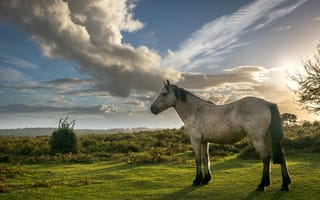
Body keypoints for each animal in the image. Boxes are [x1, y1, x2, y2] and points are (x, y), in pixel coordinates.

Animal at [150, 79, 290, 191]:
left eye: (164, 93)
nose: (152, 109)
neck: (195, 111)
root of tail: (267, 103)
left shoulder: (195, 140)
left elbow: (197, 160)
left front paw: (197, 180)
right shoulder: (204, 141)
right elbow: (205, 159)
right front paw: (206, 179)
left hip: (258, 139)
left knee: (266, 158)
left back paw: (262, 184)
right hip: (268, 138)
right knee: (282, 155)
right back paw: (285, 184)